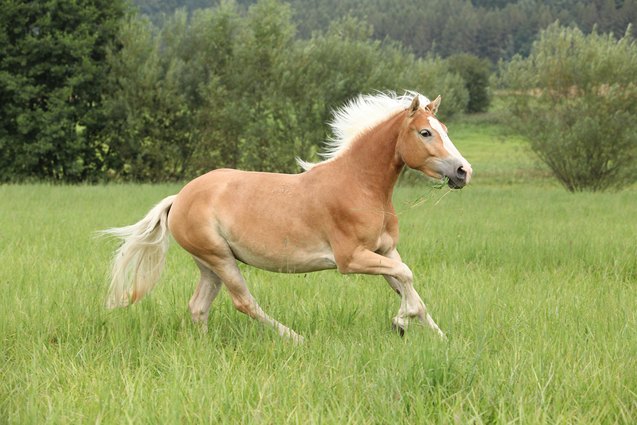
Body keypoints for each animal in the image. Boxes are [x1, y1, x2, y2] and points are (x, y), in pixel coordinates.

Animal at [102, 92, 470, 342]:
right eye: (425, 133)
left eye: (444, 128)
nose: (463, 171)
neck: (360, 186)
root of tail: (179, 198)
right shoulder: (351, 259)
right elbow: (407, 277)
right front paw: (400, 323)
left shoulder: (385, 251)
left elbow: (409, 286)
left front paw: (439, 338)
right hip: (219, 258)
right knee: (245, 302)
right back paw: (296, 338)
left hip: (208, 264)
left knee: (198, 306)